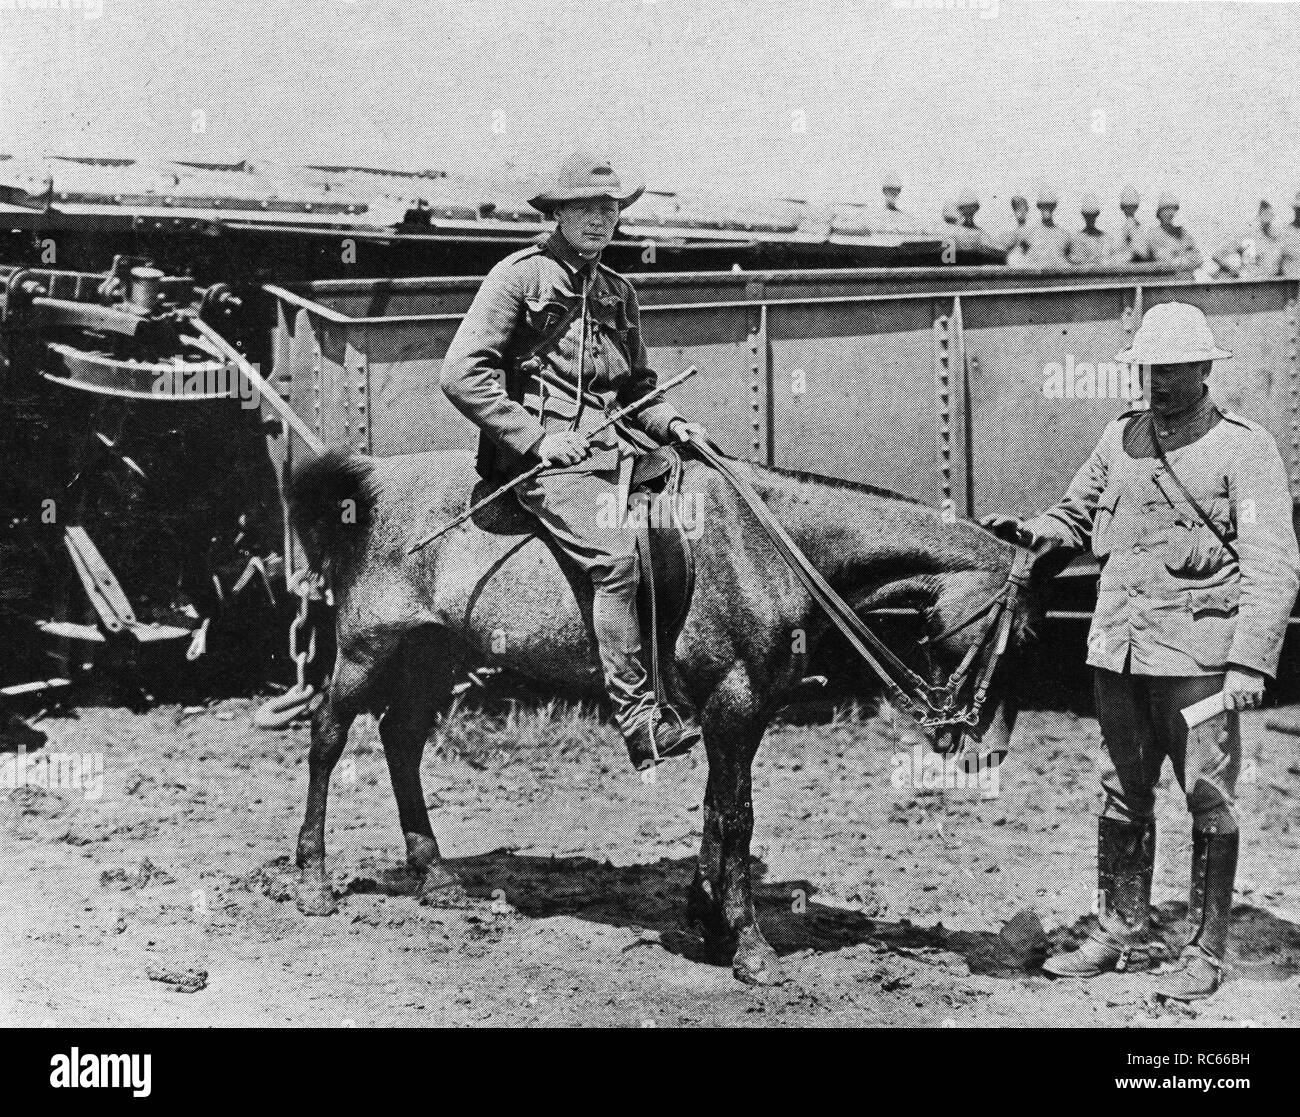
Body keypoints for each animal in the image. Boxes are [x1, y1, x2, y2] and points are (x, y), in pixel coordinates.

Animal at [284, 444, 1055, 988]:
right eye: (1015, 638)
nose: (985, 751)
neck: (769, 545)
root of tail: (373, 481)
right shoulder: (735, 704)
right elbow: (737, 816)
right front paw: (749, 946)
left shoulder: (737, 712)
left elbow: (718, 810)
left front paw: (711, 920)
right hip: (368, 648)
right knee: (327, 736)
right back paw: (313, 880)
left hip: (434, 654)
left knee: (401, 741)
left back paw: (436, 878)